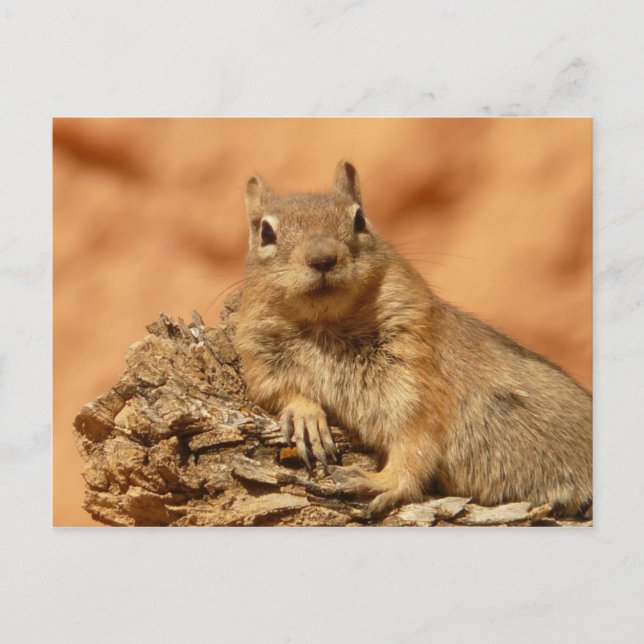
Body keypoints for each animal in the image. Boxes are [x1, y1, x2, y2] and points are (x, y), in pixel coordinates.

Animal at [234, 161, 592, 517]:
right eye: (266, 232)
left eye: (359, 220)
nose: (323, 258)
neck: (326, 325)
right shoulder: (261, 360)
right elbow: (277, 391)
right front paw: (305, 416)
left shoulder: (416, 380)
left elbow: (415, 444)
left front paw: (380, 482)